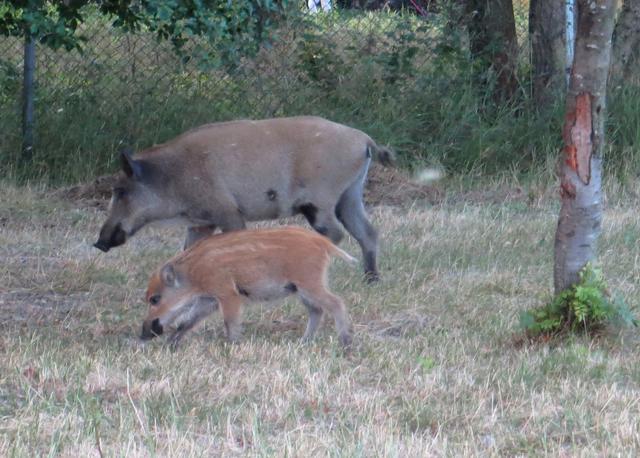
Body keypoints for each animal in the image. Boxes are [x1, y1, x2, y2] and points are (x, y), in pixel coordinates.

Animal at [94, 116, 394, 282]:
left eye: (121, 191)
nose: (99, 243)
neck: (171, 175)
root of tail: (364, 140)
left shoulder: (228, 213)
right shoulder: (201, 222)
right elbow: (187, 250)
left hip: (320, 200)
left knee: (335, 233)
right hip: (350, 195)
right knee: (367, 232)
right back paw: (371, 280)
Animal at [139, 226, 354, 348]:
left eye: (155, 299)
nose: (143, 335)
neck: (192, 273)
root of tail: (323, 242)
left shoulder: (227, 293)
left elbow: (229, 321)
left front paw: (233, 345)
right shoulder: (208, 299)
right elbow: (187, 321)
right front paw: (170, 345)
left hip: (309, 283)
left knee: (336, 303)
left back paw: (346, 343)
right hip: (301, 288)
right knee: (316, 310)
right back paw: (304, 342)